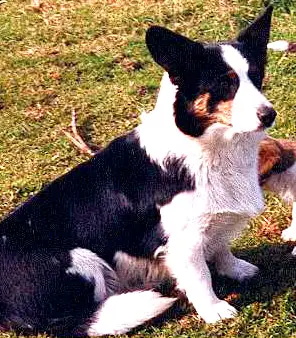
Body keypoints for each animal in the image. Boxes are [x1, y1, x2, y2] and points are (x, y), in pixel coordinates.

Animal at [0, 4, 278, 336]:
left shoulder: (214, 223)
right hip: (83, 260)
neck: (205, 147)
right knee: (78, 320)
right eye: (226, 83)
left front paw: (236, 269)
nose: (270, 115)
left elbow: (221, 246)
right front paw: (215, 311)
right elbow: (200, 277)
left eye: (257, 77)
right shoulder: (184, 242)